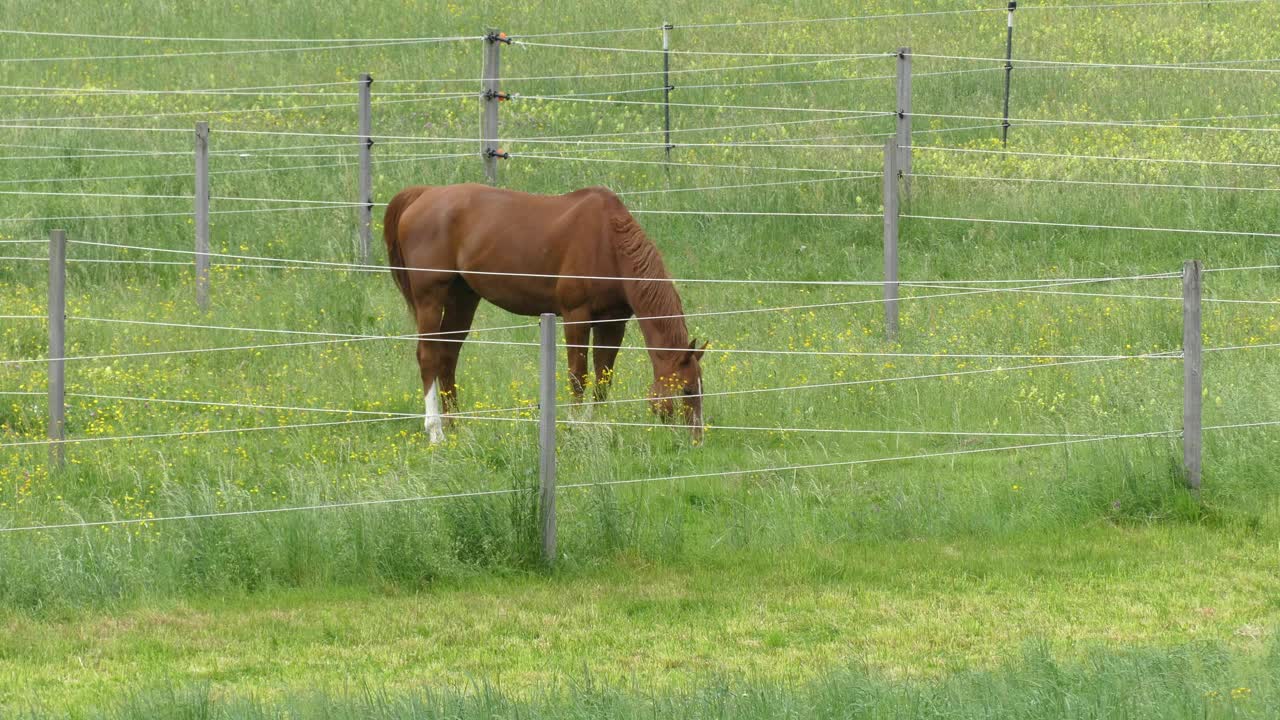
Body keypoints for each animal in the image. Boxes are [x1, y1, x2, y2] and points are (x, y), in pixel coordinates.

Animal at [378, 183, 711, 443]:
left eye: (700, 389)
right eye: (686, 390)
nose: (696, 439)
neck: (608, 242)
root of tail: (424, 195)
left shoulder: (613, 321)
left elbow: (603, 379)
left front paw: (597, 426)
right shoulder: (576, 316)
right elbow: (579, 377)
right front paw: (576, 427)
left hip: (464, 298)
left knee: (448, 355)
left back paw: (456, 427)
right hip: (430, 298)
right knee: (428, 357)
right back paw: (436, 432)